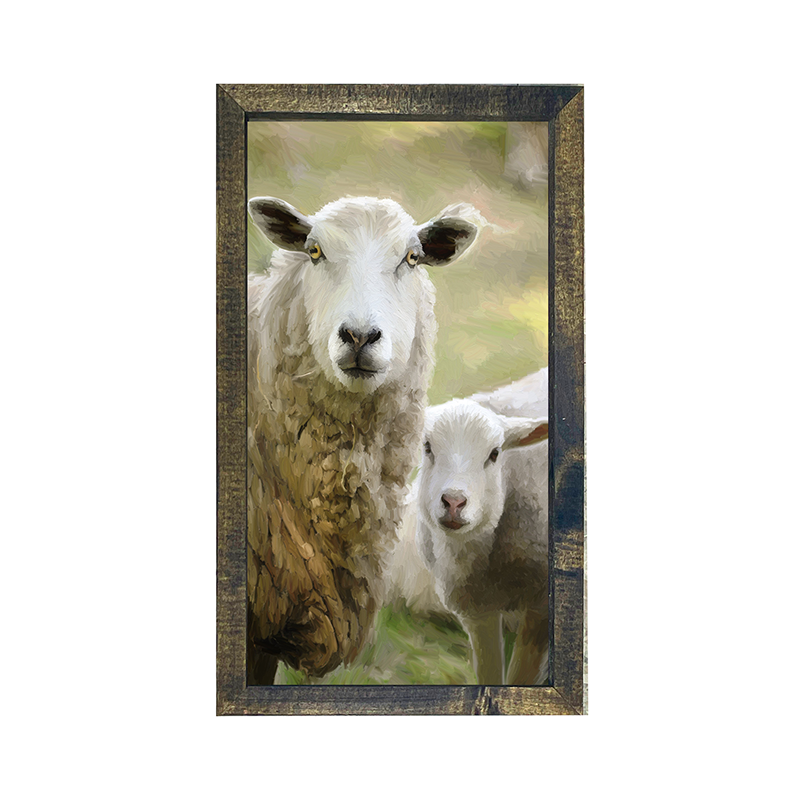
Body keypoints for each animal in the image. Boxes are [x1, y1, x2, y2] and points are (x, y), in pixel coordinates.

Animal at [414, 374, 549, 685]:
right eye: (427, 447)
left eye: (495, 453)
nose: (453, 502)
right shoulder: (476, 611)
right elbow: (489, 674)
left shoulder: (542, 607)